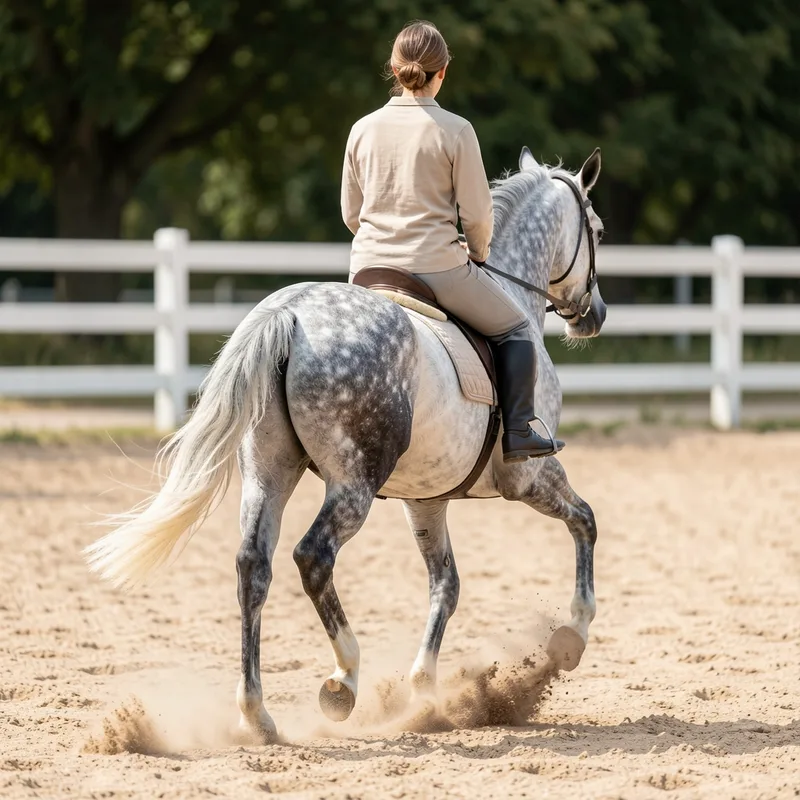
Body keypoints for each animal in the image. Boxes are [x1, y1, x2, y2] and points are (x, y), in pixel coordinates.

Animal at [85, 146, 607, 743]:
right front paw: (572, 635)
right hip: (353, 484)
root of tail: (289, 313)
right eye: (597, 230)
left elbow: (446, 585)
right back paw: (344, 679)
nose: (595, 315)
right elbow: (585, 521)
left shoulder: (425, 499)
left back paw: (257, 714)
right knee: (313, 557)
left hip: (269, 474)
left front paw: (424, 692)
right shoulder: (528, 477)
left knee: (253, 567)